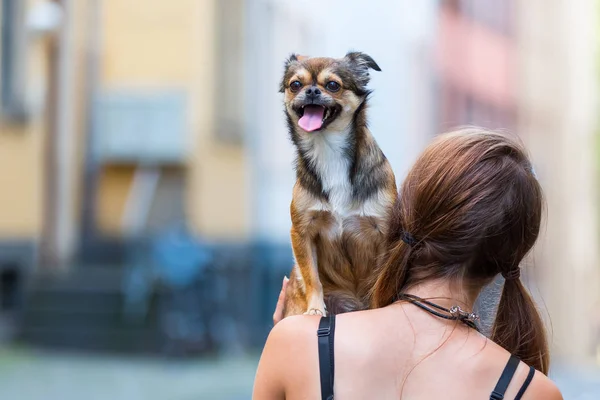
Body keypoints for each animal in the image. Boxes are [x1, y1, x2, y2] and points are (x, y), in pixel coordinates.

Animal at [282, 51, 398, 318]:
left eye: (333, 85)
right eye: (295, 84)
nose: (312, 91)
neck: (328, 149)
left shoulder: (384, 233)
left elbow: (379, 280)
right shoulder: (302, 232)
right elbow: (311, 276)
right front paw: (315, 310)